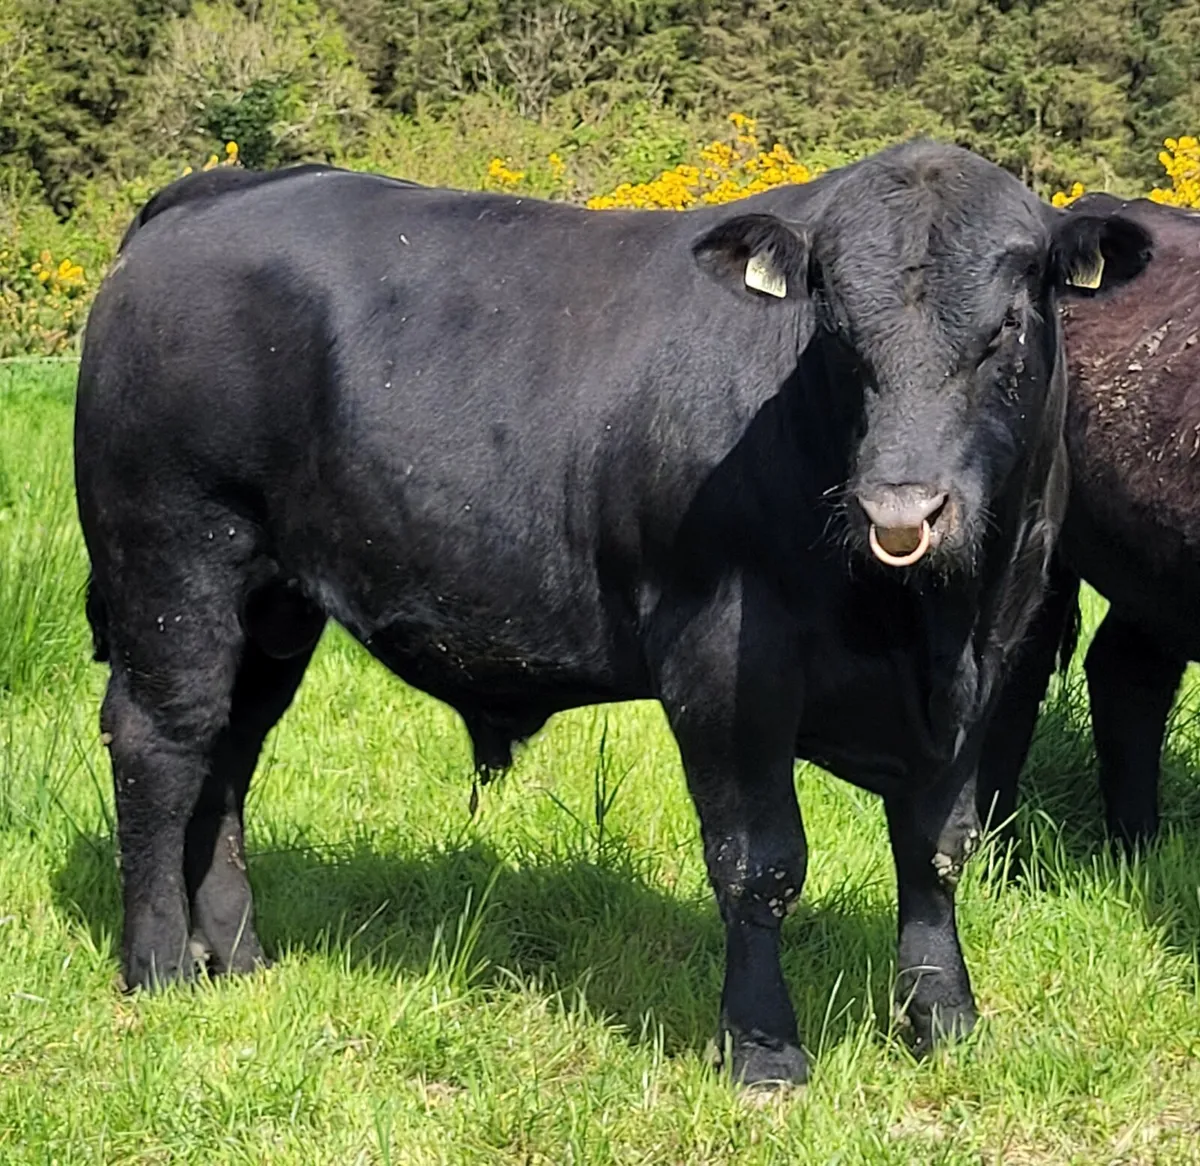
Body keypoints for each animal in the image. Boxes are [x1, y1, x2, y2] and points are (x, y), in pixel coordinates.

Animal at [74, 144, 1151, 1088]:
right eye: (839, 332)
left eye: (1007, 327)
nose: (901, 509)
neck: (926, 622)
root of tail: (219, 190)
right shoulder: (724, 661)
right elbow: (759, 861)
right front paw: (763, 1050)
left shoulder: (984, 668)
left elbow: (937, 847)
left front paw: (945, 1021)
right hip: (174, 561)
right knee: (162, 745)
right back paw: (160, 965)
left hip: (274, 604)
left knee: (229, 753)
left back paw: (238, 954)